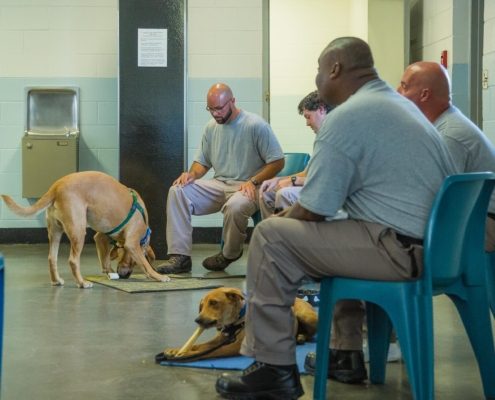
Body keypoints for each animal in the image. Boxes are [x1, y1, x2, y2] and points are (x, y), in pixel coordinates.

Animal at [1, 171, 169, 288]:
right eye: (133, 263)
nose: (125, 276)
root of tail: (56, 186)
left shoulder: (100, 237)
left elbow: (105, 259)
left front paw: (109, 272)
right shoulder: (132, 243)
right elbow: (145, 264)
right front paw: (157, 276)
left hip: (55, 232)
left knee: (51, 258)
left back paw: (56, 280)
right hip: (78, 231)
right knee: (73, 260)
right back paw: (82, 282)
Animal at [155, 287, 318, 362]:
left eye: (214, 303)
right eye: (202, 305)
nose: (198, 320)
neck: (237, 323)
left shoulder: (235, 346)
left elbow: (210, 351)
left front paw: (186, 354)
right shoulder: (220, 339)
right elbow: (200, 346)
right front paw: (175, 350)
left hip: (306, 316)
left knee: (313, 334)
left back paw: (300, 337)